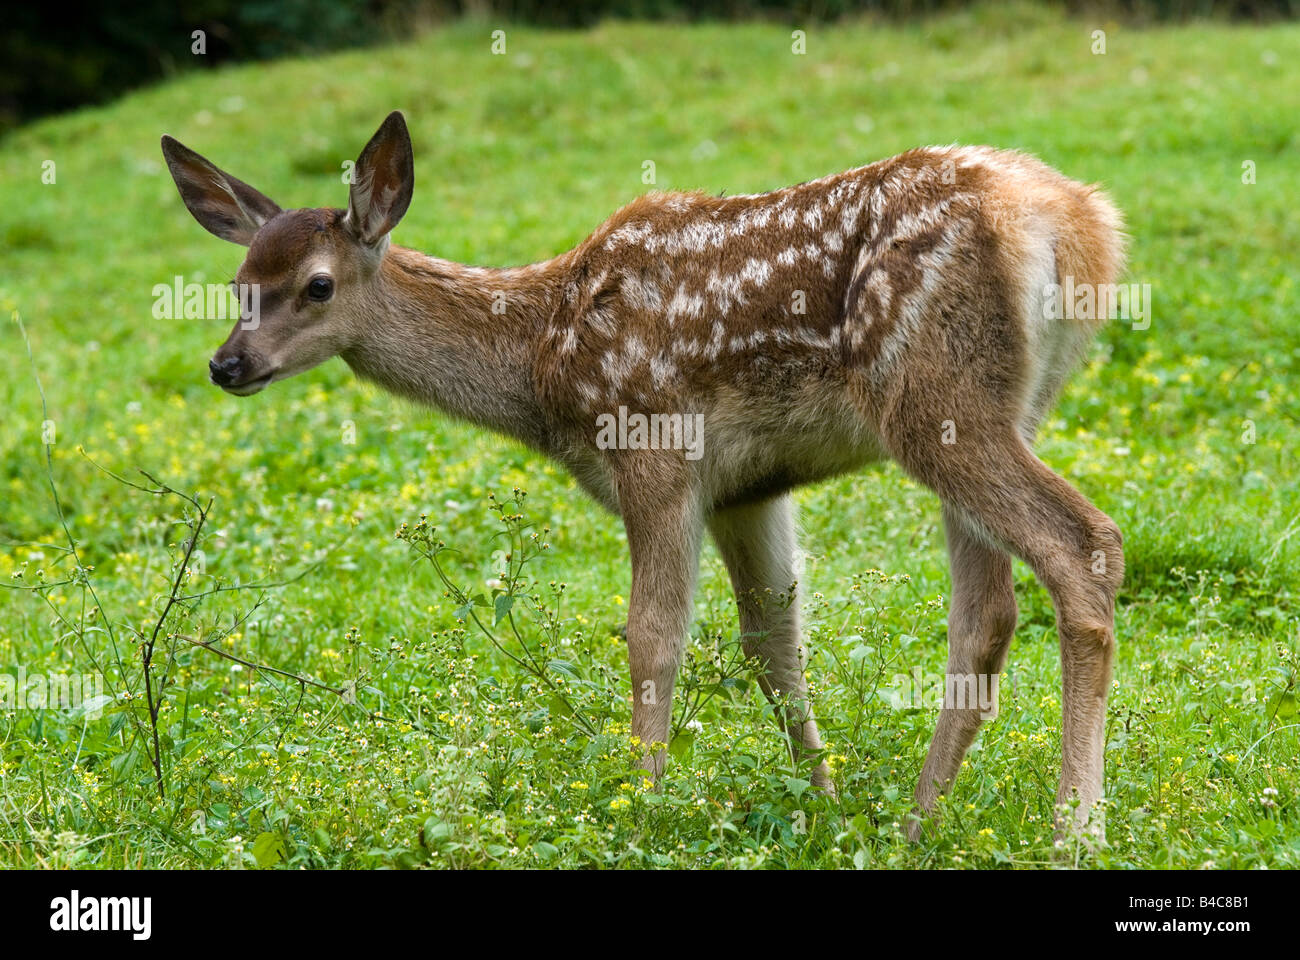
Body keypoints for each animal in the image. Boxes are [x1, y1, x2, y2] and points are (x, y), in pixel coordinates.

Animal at [161, 111, 1125, 842]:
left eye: (316, 285)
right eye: (239, 282)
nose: (227, 364)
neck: (542, 361)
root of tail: (1080, 225)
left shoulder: (654, 444)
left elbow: (652, 636)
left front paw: (643, 803)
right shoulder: (747, 489)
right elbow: (773, 645)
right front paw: (823, 803)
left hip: (934, 396)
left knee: (1085, 544)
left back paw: (1074, 828)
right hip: (1001, 405)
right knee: (987, 612)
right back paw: (920, 822)